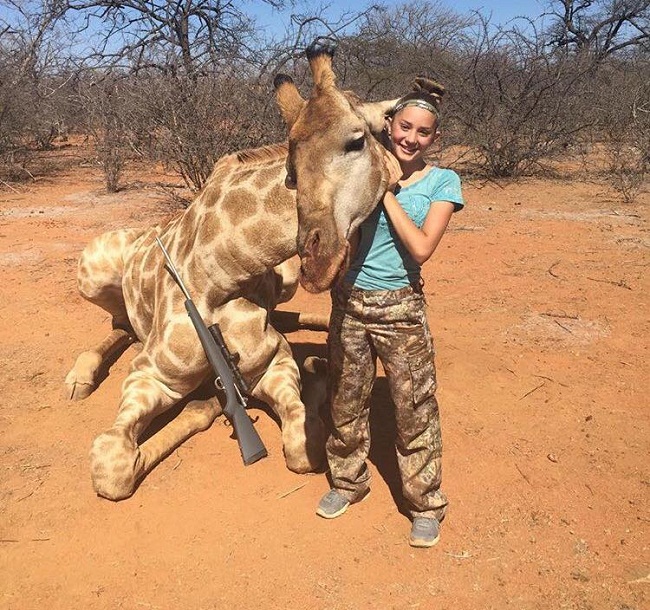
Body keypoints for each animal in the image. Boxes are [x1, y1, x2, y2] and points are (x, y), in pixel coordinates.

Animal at [65, 40, 398, 501]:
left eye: (357, 140)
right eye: (292, 164)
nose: (317, 258)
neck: (221, 271)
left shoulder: (271, 362)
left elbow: (303, 448)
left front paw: (315, 372)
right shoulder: (149, 374)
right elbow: (112, 466)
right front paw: (205, 403)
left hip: (287, 282)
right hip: (90, 271)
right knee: (118, 325)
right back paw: (80, 378)